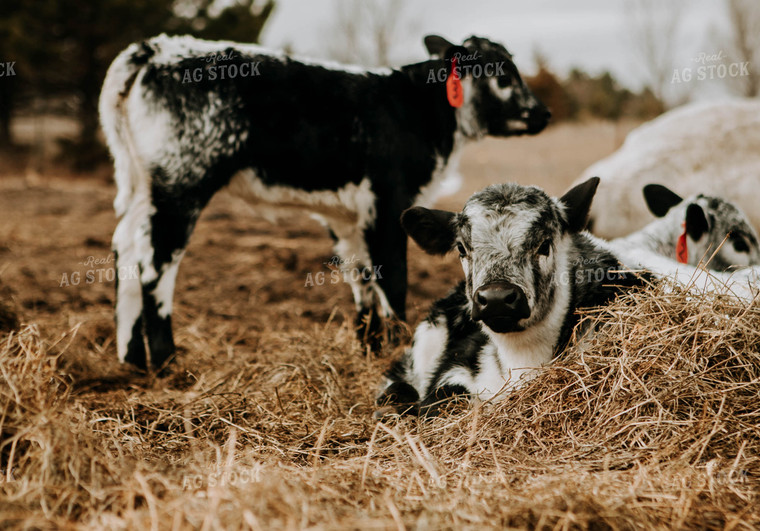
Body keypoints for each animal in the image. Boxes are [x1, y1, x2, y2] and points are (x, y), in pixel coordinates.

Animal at [102, 32, 552, 366]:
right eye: (503, 74)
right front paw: (396, 349)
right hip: (181, 183)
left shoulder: (348, 217)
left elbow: (363, 279)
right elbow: (394, 279)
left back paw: (132, 358)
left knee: (125, 247)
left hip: (141, 186)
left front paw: (369, 349)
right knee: (155, 263)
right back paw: (166, 361)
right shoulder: (389, 202)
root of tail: (155, 47)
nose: (542, 113)